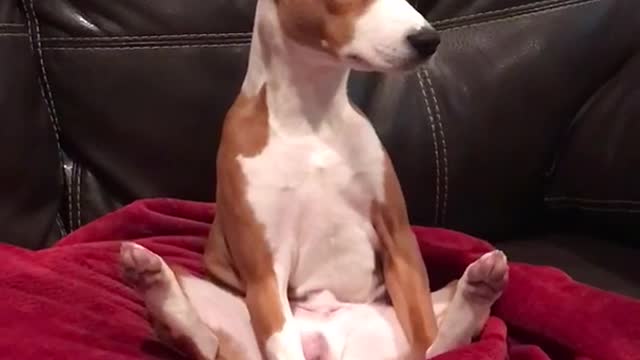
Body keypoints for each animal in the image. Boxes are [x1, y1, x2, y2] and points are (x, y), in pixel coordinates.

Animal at [120, 0, 510, 358]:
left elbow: (425, 328)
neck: (312, 120)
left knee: (437, 346)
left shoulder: (398, 240)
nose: (428, 39)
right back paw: (153, 280)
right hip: (214, 297)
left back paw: (478, 289)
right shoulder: (265, 273)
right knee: (203, 341)